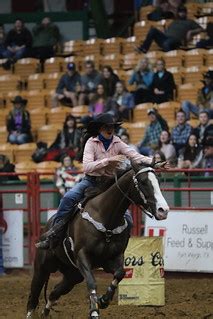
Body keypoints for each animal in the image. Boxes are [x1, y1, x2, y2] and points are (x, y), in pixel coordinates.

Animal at [26, 162, 169, 319]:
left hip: (73, 275)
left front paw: (104, 300)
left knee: (54, 292)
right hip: (42, 268)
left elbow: (120, 273)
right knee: (33, 296)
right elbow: (92, 283)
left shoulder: (112, 258)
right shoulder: (82, 256)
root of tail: (46, 227)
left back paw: (45, 312)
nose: (163, 210)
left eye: (158, 181)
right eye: (143, 182)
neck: (106, 217)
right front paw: (94, 310)